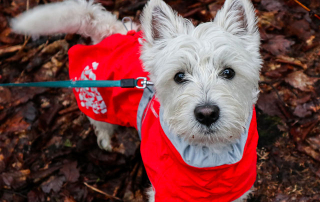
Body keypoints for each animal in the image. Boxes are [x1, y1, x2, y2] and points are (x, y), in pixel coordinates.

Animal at [12, 0, 262, 200]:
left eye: (228, 72)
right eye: (179, 76)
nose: (207, 113)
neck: (209, 156)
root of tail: (113, 31)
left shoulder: (235, 189)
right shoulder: (166, 190)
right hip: (96, 102)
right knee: (100, 125)